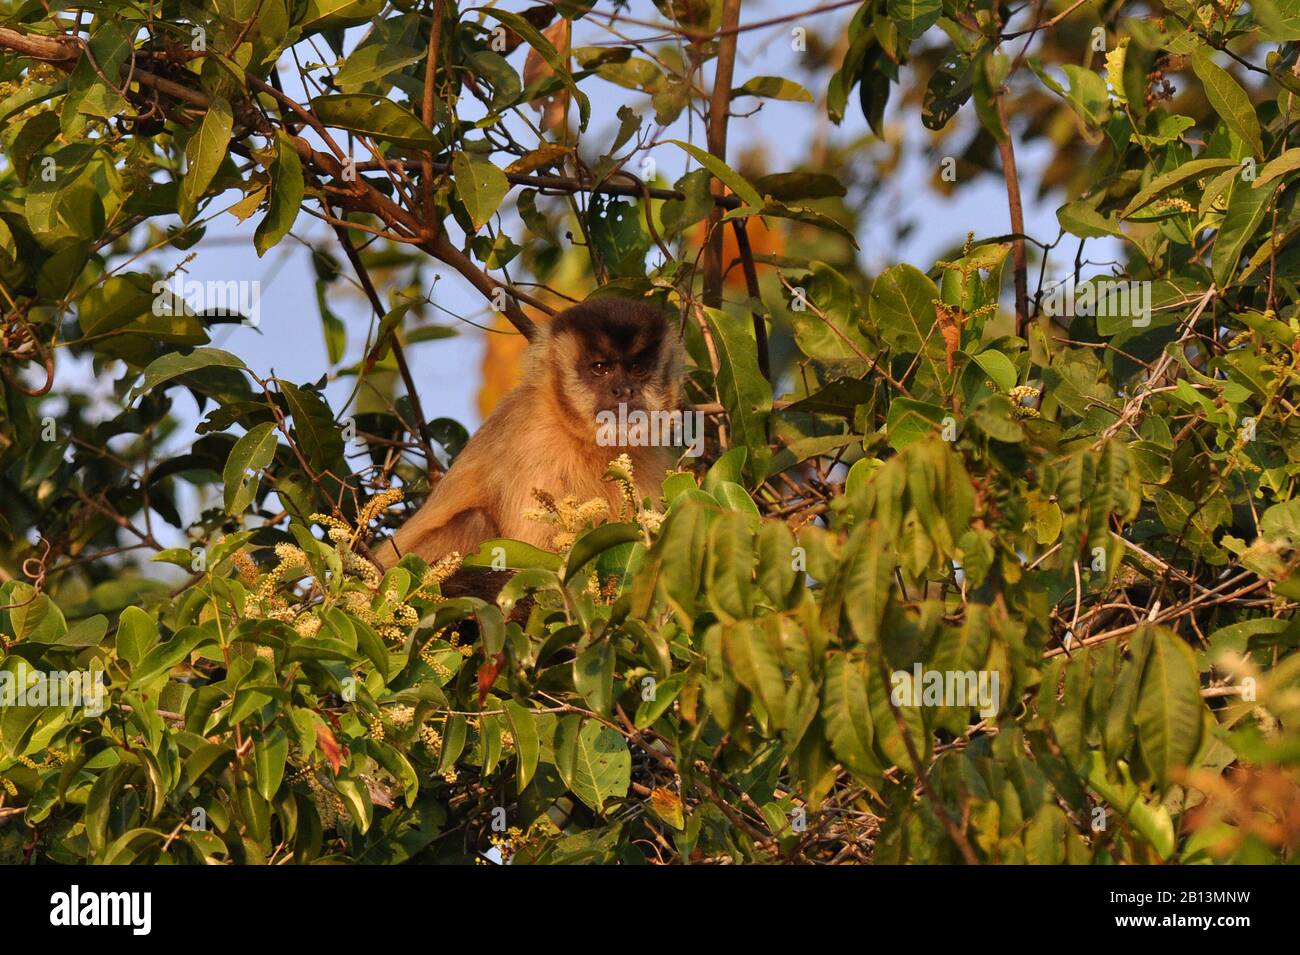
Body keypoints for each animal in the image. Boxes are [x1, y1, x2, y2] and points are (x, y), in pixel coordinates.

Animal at [374, 298, 686, 566]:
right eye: (601, 369)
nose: (623, 390)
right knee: (475, 523)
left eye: (637, 369)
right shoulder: (535, 441)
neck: (576, 431)